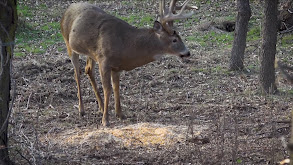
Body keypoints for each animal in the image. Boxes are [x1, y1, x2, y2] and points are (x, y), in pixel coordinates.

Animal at [59, 0, 196, 126]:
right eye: (174, 40)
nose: (187, 52)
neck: (125, 44)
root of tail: (67, 9)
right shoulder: (104, 60)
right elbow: (107, 89)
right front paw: (105, 120)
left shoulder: (116, 66)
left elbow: (116, 88)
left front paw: (120, 114)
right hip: (68, 43)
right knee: (77, 74)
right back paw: (81, 110)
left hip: (91, 54)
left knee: (88, 69)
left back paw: (101, 106)